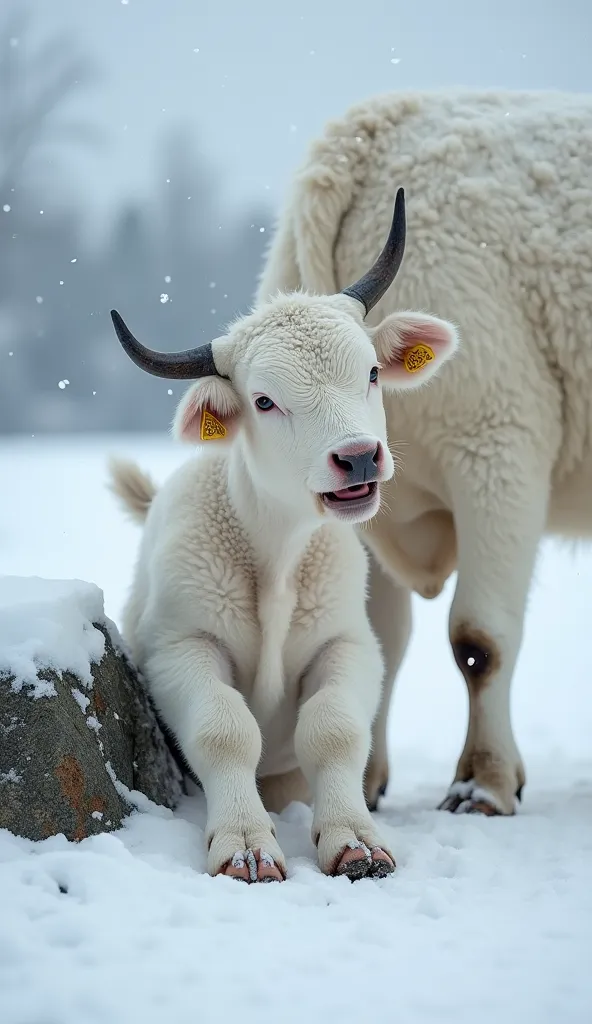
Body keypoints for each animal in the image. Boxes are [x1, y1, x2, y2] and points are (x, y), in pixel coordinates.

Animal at [106, 190, 456, 880]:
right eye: (265, 400)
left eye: (371, 372)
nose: (358, 457)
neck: (278, 557)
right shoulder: (180, 647)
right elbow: (225, 729)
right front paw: (245, 844)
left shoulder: (348, 644)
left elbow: (333, 728)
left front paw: (354, 839)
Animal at [256, 92, 589, 819]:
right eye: (266, 400)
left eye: (370, 371)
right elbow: (380, 637)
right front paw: (359, 783)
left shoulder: (498, 452)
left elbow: (480, 638)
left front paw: (485, 783)